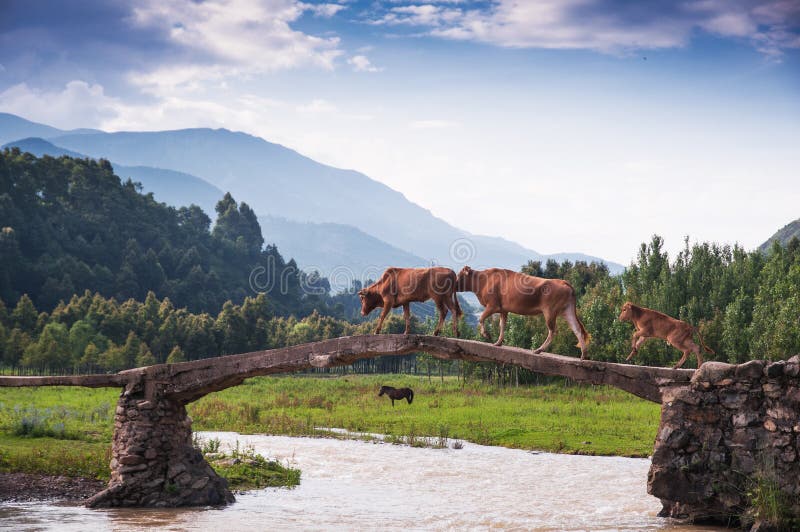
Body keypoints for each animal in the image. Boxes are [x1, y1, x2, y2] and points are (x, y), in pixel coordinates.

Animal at [456, 266, 588, 358]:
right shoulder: (503, 309)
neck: (483, 281)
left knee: (553, 331)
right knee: (577, 329)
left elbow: (481, 318)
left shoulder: (492, 305)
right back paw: (583, 355)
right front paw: (498, 342)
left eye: (458, 275)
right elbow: (502, 325)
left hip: (550, 311)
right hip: (567, 310)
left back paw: (538, 350)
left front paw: (486, 334)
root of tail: (563, 282)